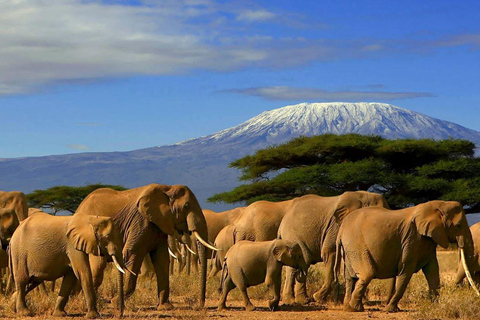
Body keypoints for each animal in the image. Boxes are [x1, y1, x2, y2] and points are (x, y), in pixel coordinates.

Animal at [74, 184, 218, 312]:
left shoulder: (159, 224)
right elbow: (133, 254)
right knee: (98, 266)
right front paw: (116, 303)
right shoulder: (140, 222)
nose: (199, 306)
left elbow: (162, 259)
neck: (167, 188)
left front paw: (165, 307)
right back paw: (84, 302)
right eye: (186, 206)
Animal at [338, 200, 476, 312]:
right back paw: (354, 308)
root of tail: (341, 229)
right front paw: (390, 310)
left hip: (349, 249)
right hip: (356, 245)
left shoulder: (427, 240)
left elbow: (433, 271)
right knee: (367, 274)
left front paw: (434, 307)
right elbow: (406, 271)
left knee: (350, 277)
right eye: (458, 225)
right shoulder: (412, 238)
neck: (439, 205)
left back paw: (349, 308)